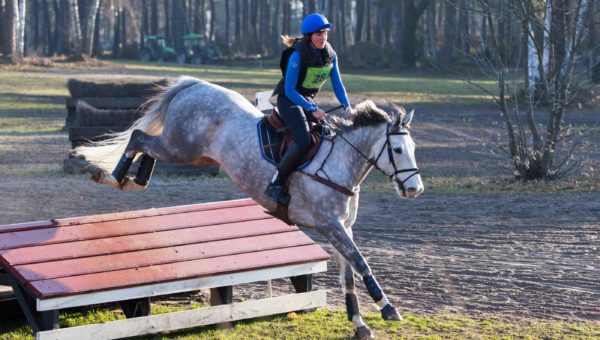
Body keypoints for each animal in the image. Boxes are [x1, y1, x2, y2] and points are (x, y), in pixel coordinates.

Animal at [76, 75, 422, 338]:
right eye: (397, 149)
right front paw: (388, 308)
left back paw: (133, 179)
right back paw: (113, 176)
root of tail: (194, 84)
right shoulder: (329, 225)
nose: (414, 189)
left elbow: (349, 275)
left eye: (413, 148)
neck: (340, 162)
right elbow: (361, 263)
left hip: (188, 151)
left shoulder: (342, 228)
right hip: (181, 147)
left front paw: (360, 324)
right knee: (138, 137)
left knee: (148, 146)